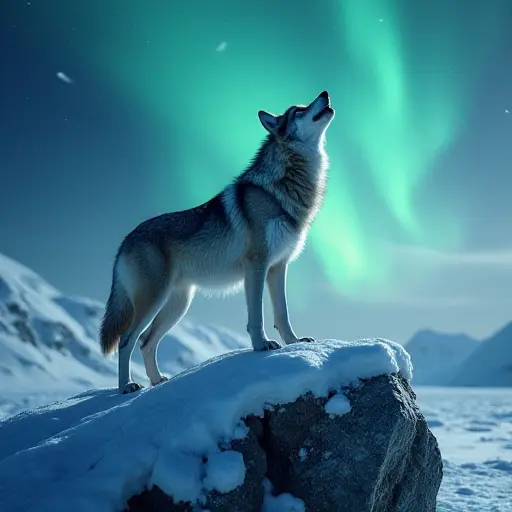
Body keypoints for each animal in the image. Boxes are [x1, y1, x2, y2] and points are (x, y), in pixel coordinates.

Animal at [100, 90, 336, 394]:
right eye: (298, 110)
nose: (325, 93)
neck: (282, 186)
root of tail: (125, 240)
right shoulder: (257, 265)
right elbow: (257, 316)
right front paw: (262, 346)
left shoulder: (278, 267)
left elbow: (282, 314)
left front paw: (295, 344)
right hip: (153, 301)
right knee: (126, 340)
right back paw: (126, 387)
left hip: (177, 305)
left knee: (146, 342)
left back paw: (157, 381)